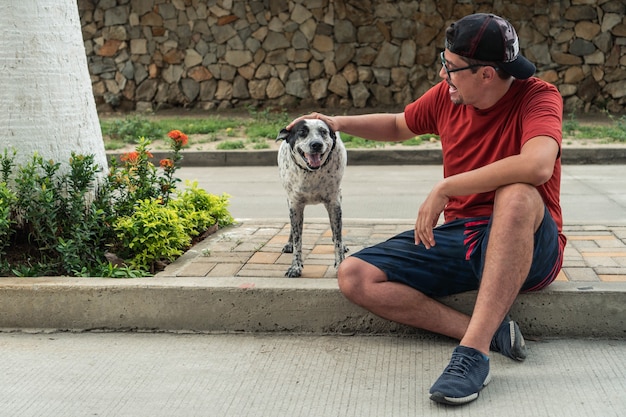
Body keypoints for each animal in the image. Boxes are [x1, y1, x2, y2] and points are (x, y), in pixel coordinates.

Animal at [276, 119, 346, 276]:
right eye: (302, 132)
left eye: (323, 131)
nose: (316, 144)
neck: (311, 173)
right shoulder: (295, 205)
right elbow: (298, 240)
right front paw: (295, 267)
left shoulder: (334, 204)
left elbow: (338, 239)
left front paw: (340, 263)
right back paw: (289, 244)